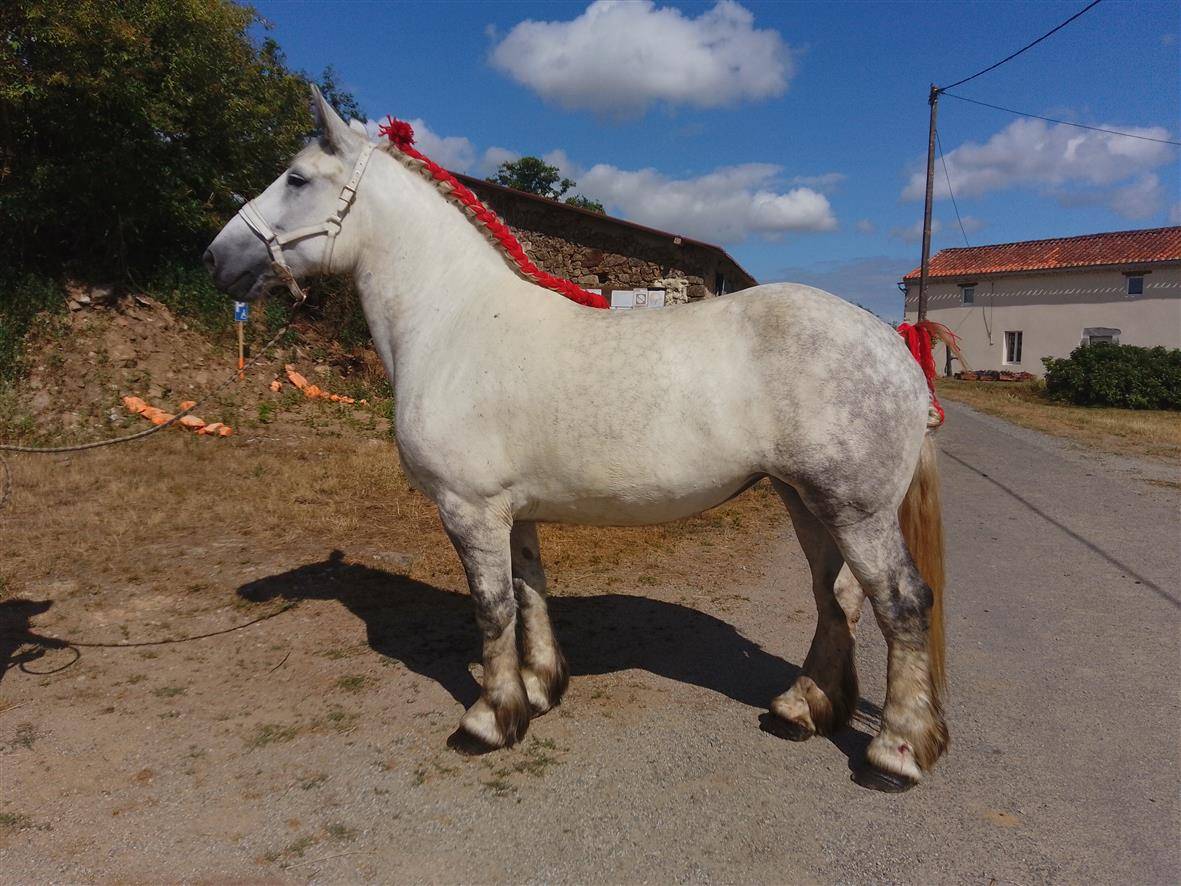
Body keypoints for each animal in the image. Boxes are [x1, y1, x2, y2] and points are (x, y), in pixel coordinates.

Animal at [205, 86, 949, 792]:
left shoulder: (468, 509)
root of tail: (894, 343)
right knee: (837, 598)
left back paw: (895, 752)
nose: (215, 259)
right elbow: (529, 592)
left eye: (297, 178)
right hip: (806, 502)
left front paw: (487, 719)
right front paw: (538, 690)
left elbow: (492, 608)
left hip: (854, 510)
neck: (453, 322)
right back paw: (801, 709)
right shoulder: (513, 512)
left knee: (901, 604)